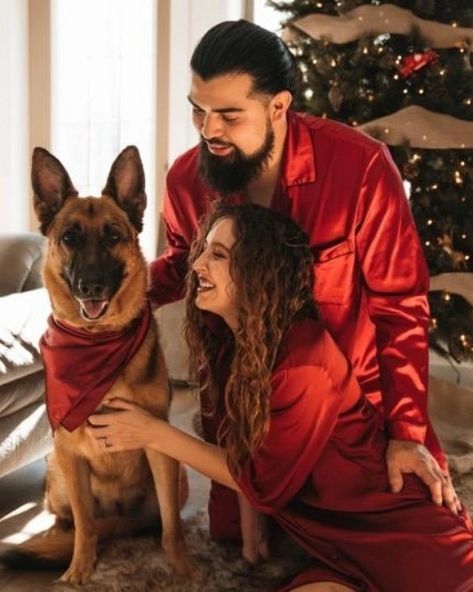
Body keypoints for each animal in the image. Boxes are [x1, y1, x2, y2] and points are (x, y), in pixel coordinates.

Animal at [0, 147, 192, 584]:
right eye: (69, 237)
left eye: (112, 236)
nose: (91, 286)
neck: (96, 342)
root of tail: (119, 519)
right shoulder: (71, 453)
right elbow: (85, 527)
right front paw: (79, 569)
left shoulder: (160, 447)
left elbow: (172, 526)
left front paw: (182, 569)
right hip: (57, 470)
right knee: (73, 520)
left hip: (179, 475)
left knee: (156, 519)